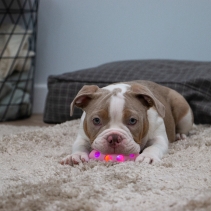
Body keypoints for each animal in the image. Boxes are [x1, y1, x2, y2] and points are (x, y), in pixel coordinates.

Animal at [60, 80, 193, 165]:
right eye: (96, 120)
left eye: (132, 120)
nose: (114, 138)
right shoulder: (82, 136)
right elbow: (79, 145)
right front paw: (75, 156)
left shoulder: (159, 138)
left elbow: (154, 147)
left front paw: (148, 157)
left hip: (183, 110)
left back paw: (180, 135)